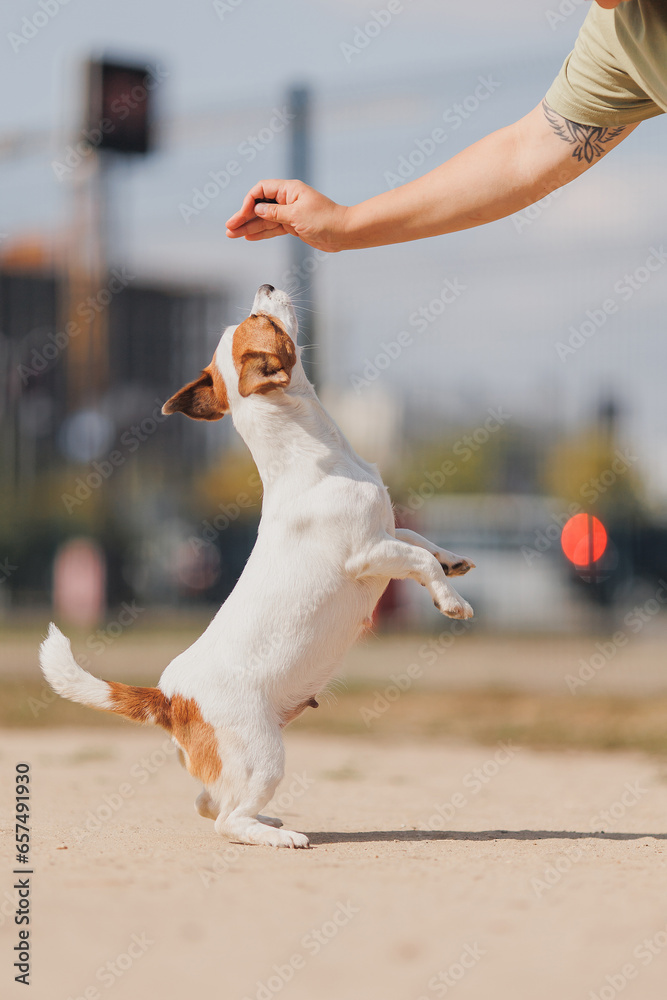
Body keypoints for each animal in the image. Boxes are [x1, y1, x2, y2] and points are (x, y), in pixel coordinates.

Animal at [40, 286, 474, 848]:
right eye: (262, 319)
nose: (266, 286)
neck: (315, 455)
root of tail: (171, 697)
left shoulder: (385, 533)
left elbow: (420, 540)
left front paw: (454, 561)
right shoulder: (369, 553)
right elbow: (419, 559)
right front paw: (451, 600)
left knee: (209, 803)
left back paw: (266, 821)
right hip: (265, 757)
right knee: (226, 819)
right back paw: (276, 836)